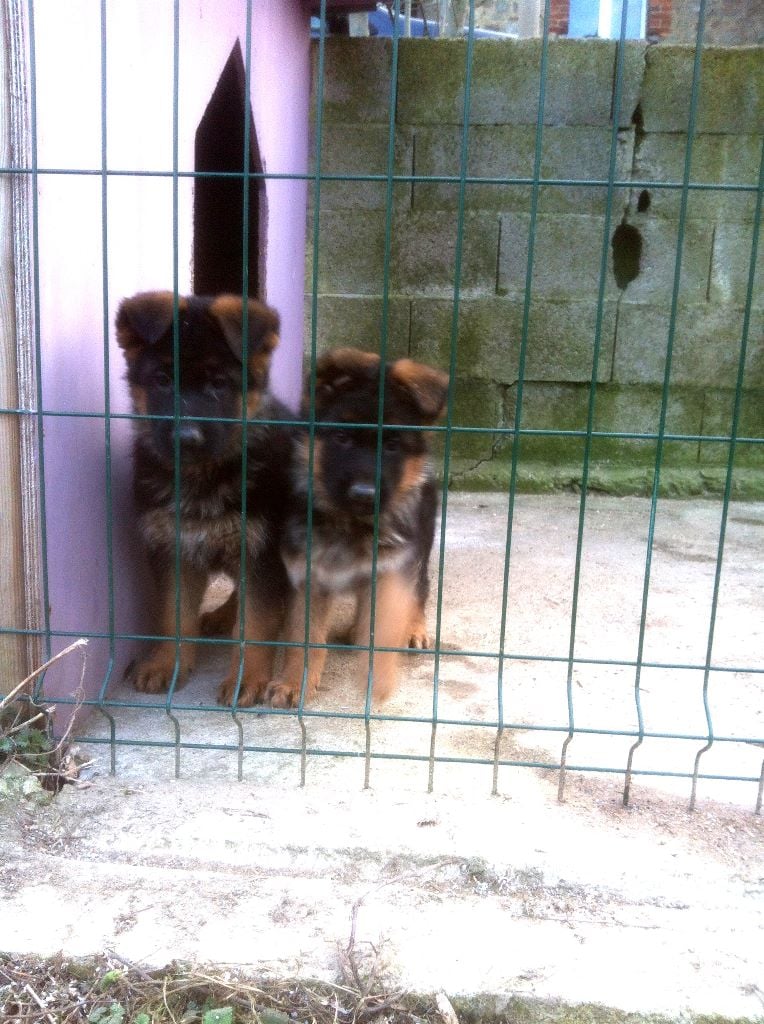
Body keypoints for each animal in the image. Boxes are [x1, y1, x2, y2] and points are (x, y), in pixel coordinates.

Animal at [116, 288, 290, 704]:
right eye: (163, 379)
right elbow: (172, 615)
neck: (203, 477)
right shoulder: (172, 550)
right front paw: (167, 664)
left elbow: (256, 624)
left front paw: (247, 677)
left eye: (218, 383)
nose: (186, 438)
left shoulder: (262, 553)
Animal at [266, 348, 448, 708]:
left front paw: (380, 677)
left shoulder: (394, 568)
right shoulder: (307, 578)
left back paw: (414, 628)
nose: (364, 494)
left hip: (420, 546)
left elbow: (386, 625)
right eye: (342, 438)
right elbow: (303, 637)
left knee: (420, 588)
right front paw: (294, 682)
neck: (351, 525)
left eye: (392, 445)